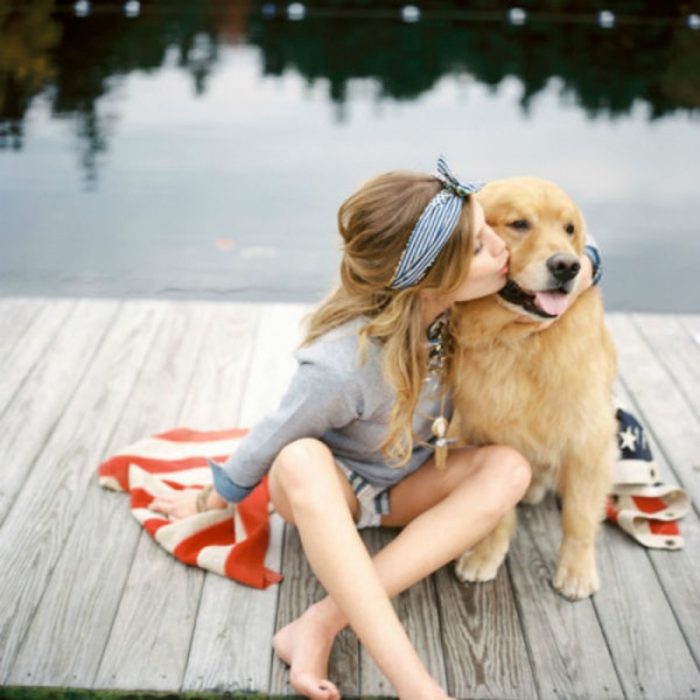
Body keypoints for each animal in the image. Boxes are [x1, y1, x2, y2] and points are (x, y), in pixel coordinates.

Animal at [452, 178, 616, 600]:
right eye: (519, 224)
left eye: (569, 228)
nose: (568, 265)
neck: (520, 342)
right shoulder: (487, 437)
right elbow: (497, 514)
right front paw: (485, 555)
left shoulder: (589, 439)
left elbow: (579, 516)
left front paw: (577, 571)